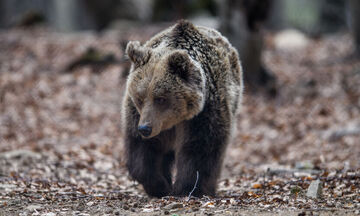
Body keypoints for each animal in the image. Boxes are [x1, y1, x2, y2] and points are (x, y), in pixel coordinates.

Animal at [122, 19, 243, 197]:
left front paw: (187, 188)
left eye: (161, 98)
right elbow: (142, 150)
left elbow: (200, 148)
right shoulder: (138, 115)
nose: (145, 129)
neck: (175, 120)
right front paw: (160, 186)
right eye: (139, 98)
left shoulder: (204, 112)